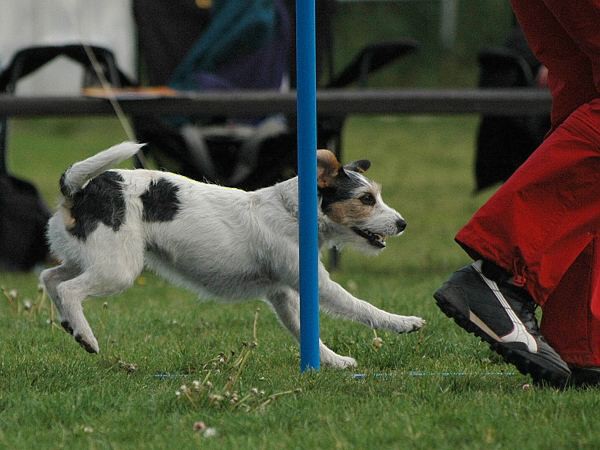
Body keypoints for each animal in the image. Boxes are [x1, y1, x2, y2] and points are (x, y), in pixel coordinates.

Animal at [39, 142, 424, 368]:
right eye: (366, 200)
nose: (403, 223)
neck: (294, 212)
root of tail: (80, 190)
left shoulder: (282, 294)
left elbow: (304, 330)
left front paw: (334, 362)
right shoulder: (318, 284)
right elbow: (362, 307)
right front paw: (403, 322)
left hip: (87, 257)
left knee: (51, 278)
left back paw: (70, 325)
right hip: (118, 269)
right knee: (69, 289)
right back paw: (86, 336)